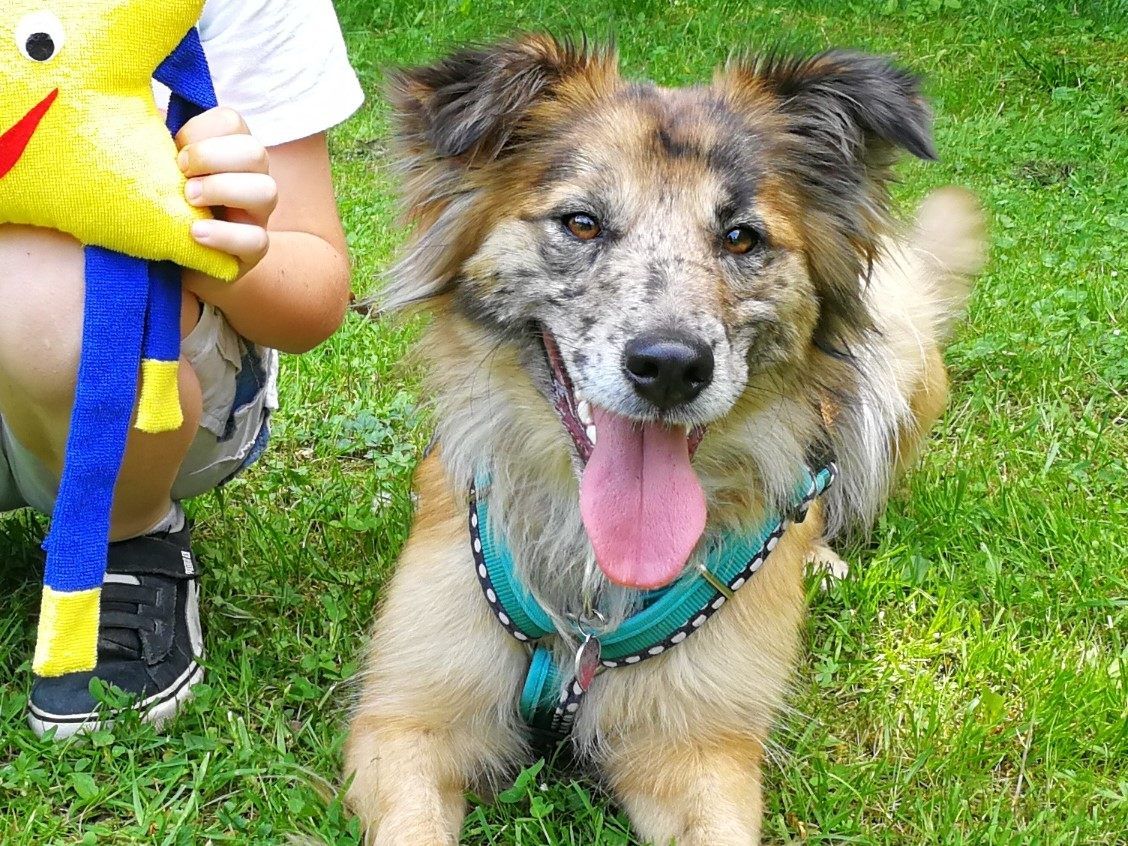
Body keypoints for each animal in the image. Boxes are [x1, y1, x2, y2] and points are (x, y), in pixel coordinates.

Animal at [345, 34, 988, 846]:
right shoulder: (406, 720)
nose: (672, 367)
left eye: (742, 238)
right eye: (582, 223)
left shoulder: (698, 747)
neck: (590, 600)